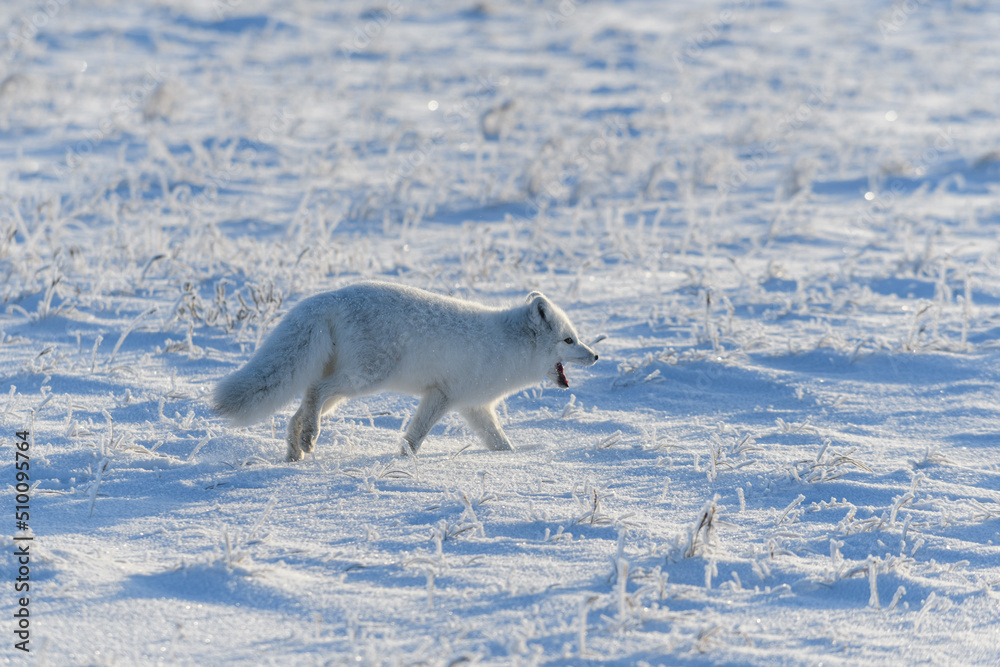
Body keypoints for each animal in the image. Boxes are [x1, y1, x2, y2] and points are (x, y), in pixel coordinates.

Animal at [211, 281, 599, 461]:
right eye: (569, 340)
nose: (595, 356)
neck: (506, 346)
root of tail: (327, 297)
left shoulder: (474, 407)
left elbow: (500, 443)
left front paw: (516, 458)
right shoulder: (441, 395)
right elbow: (415, 437)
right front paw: (402, 463)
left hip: (346, 386)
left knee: (301, 407)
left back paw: (296, 453)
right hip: (366, 379)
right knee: (314, 392)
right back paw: (308, 439)